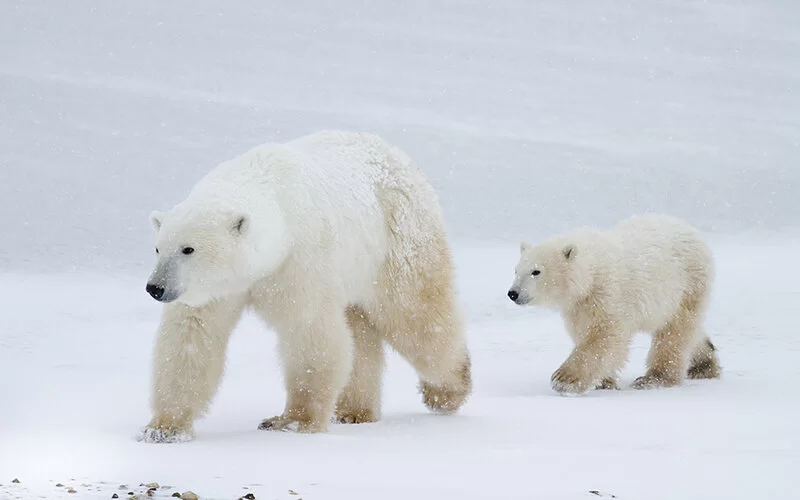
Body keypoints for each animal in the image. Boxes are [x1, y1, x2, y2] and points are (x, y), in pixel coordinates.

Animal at [141, 129, 472, 442]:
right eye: (158, 249)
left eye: (188, 249)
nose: (155, 288)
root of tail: (400, 156)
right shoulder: (216, 289)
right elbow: (192, 336)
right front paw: (163, 428)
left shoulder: (301, 258)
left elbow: (309, 330)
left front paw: (292, 421)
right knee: (359, 330)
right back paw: (354, 411)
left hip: (398, 239)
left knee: (416, 317)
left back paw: (447, 391)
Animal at [510, 215, 720, 394]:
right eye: (516, 270)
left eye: (536, 271)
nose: (513, 293)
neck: (591, 272)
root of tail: (692, 231)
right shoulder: (578, 306)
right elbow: (584, 332)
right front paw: (604, 382)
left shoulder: (608, 294)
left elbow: (603, 336)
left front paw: (564, 379)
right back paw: (704, 364)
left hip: (687, 284)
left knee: (675, 331)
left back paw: (653, 378)